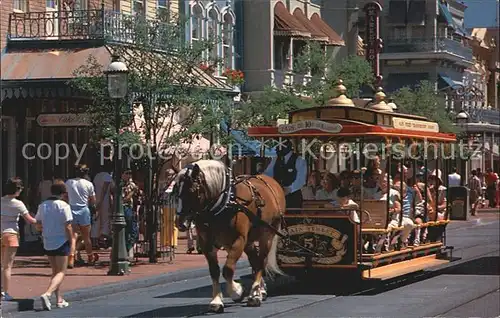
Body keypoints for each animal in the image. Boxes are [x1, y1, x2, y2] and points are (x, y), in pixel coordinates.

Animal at [174, 160, 288, 312]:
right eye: (175, 191)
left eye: (192, 191)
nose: (180, 223)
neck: (224, 204)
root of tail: (272, 183)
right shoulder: (206, 243)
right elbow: (215, 271)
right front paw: (217, 301)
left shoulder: (238, 240)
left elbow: (228, 269)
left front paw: (237, 291)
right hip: (247, 241)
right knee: (255, 260)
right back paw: (260, 291)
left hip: (267, 235)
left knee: (261, 262)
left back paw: (255, 295)